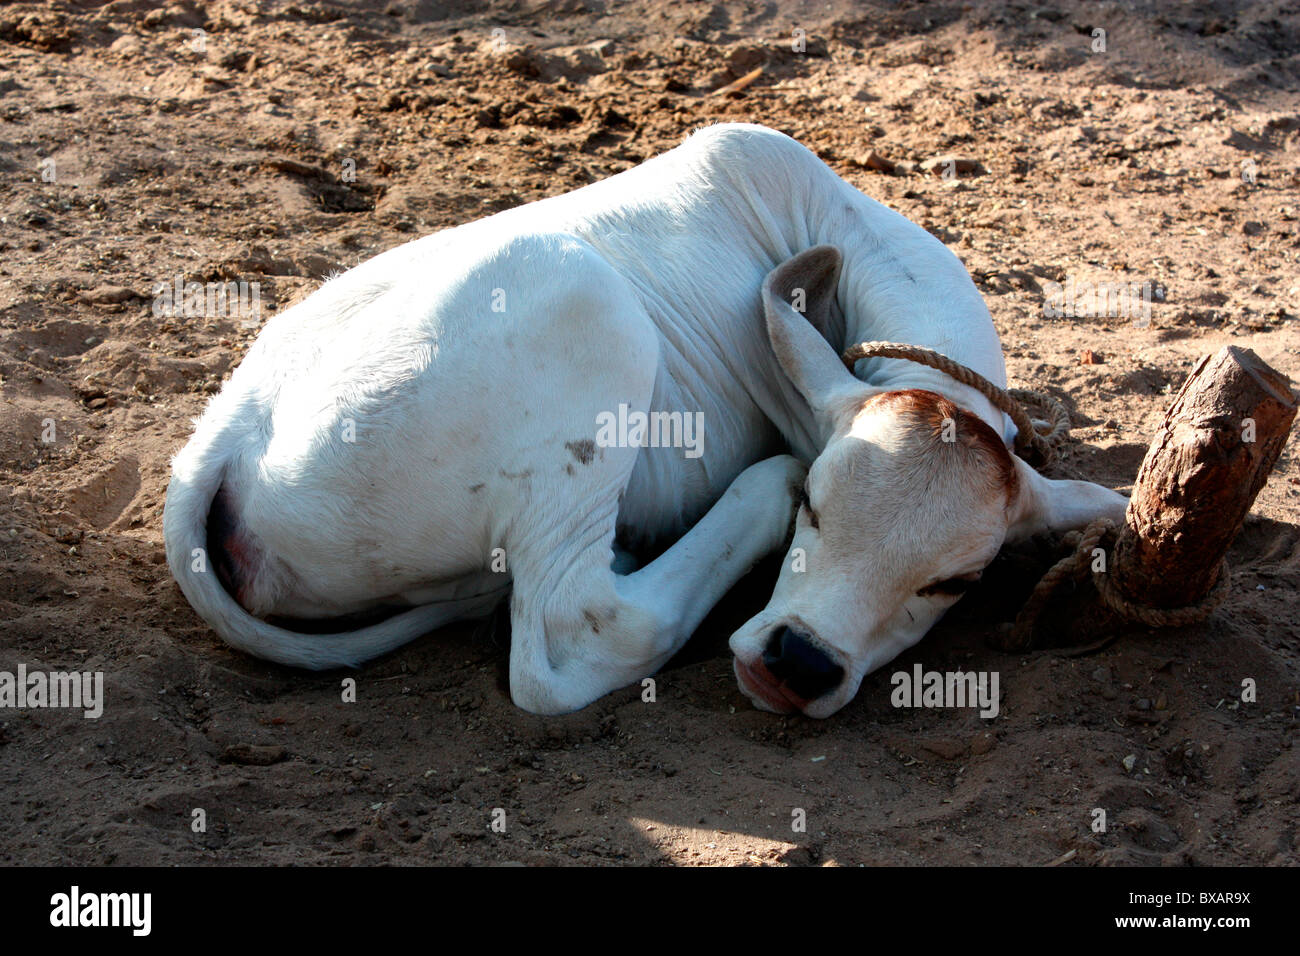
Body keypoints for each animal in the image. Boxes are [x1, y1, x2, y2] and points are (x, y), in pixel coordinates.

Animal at [163, 123, 1127, 716]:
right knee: (574, 635)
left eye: (953, 584)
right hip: (588, 308)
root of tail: (224, 434)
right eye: (816, 508)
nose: (799, 665)